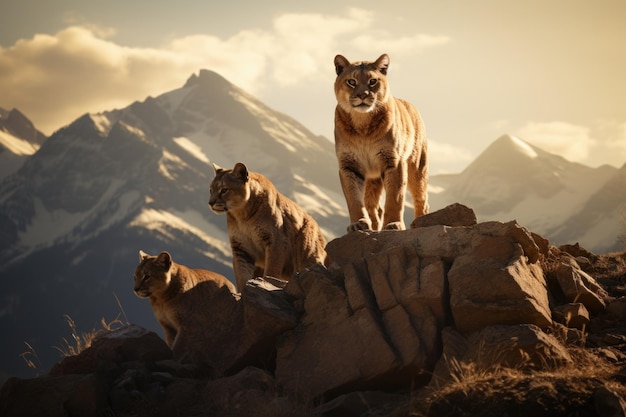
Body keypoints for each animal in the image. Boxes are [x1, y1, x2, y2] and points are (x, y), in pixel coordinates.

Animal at [210, 161, 326, 290]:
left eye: (224, 190)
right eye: (211, 189)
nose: (210, 203)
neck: (243, 216)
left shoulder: (276, 242)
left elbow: (271, 271)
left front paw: (266, 284)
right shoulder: (241, 247)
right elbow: (242, 275)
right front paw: (242, 291)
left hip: (307, 257)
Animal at [332, 52, 428, 231]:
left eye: (372, 81)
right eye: (351, 81)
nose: (363, 95)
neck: (362, 125)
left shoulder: (394, 161)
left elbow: (395, 197)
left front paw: (393, 224)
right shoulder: (349, 165)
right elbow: (353, 199)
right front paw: (358, 223)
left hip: (418, 167)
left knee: (422, 200)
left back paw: (420, 223)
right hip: (372, 179)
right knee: (374, 206)